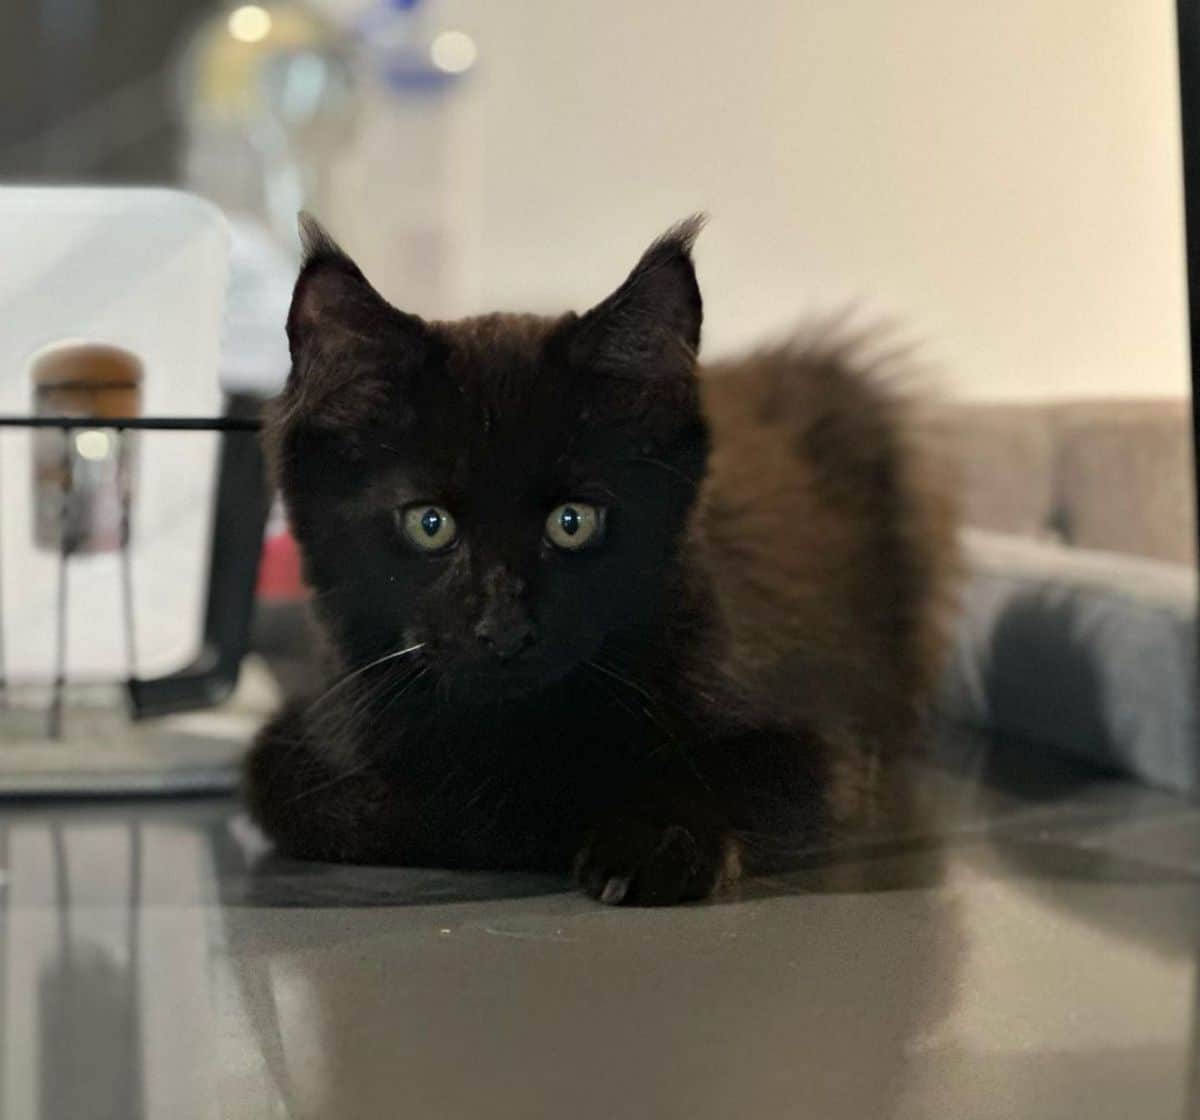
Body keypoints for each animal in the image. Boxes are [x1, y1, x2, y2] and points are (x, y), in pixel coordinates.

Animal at [246, 213, 955, 902]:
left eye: (572, 522)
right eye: (429, 524)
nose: (504, 629)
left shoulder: (817, 738)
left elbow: (722, 773)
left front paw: (656, 840)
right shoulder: (303, 748)